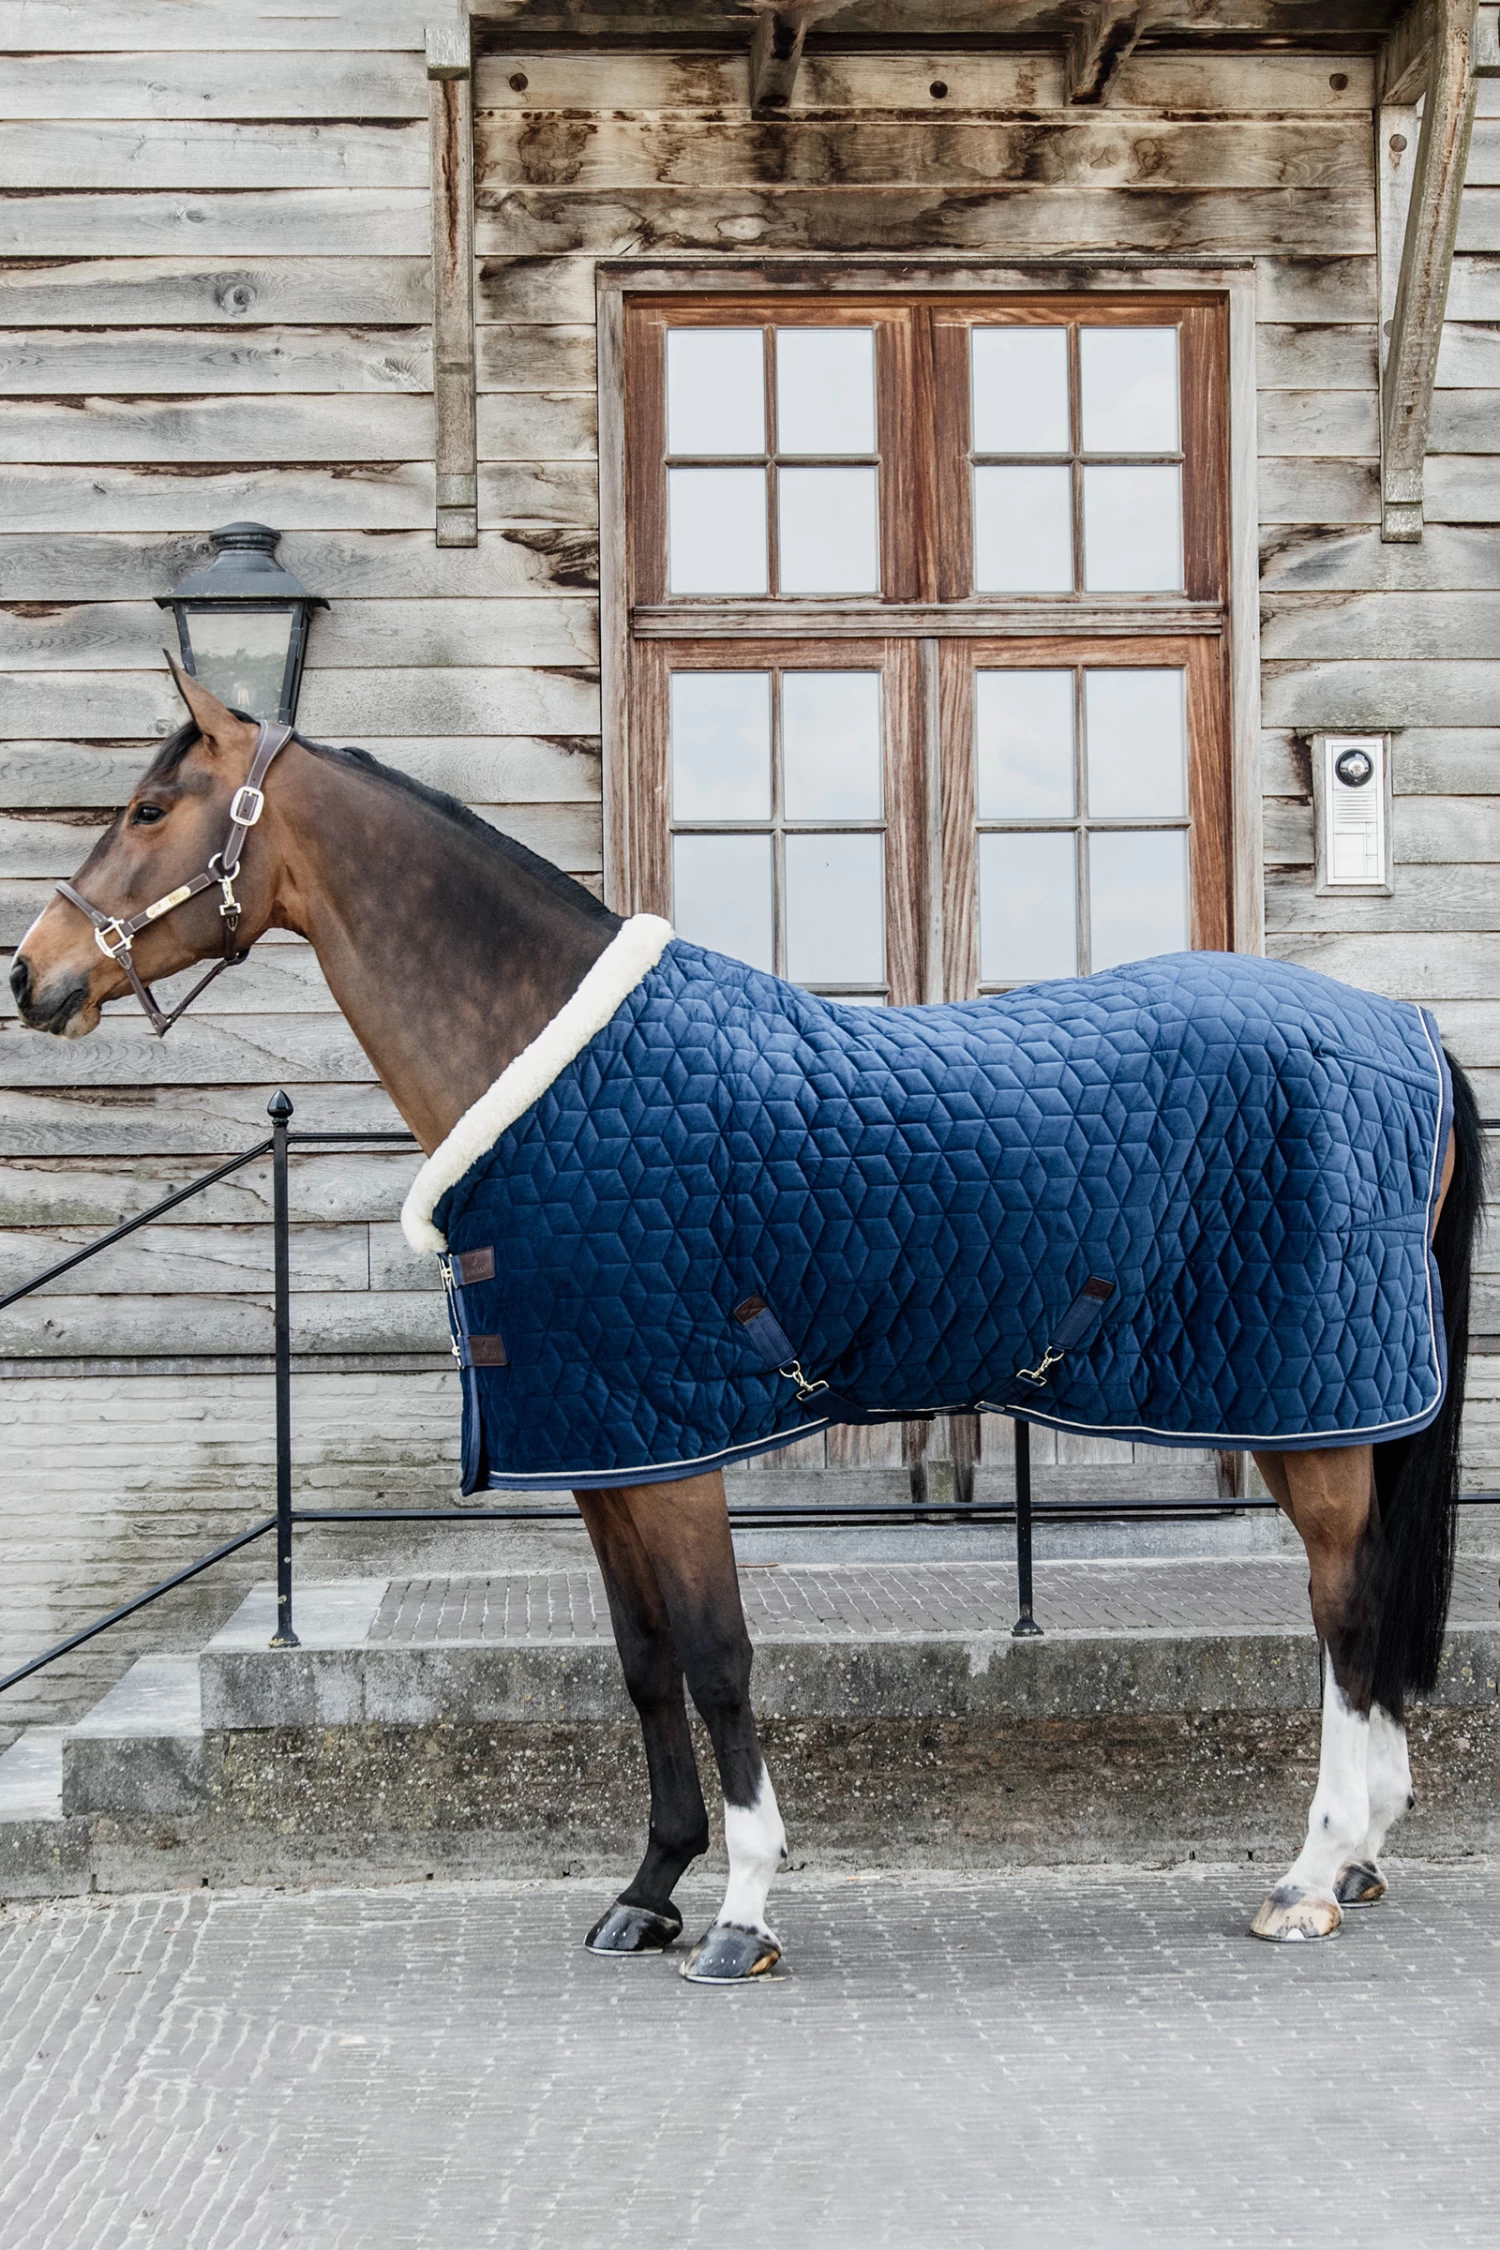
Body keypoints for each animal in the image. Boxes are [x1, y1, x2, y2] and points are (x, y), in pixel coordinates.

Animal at [10, 664, 1483, 1978]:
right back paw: (1362, 1852)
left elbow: (718, 1658)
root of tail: (1403, 1024)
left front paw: (742, 1908)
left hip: (1310, 1413)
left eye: (149, 807)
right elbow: (644, 1662)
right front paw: (647, 1888)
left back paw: (1311, 1872)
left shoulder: (679, 1449)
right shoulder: (606, 1446)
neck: (559, 1075)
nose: (35, 974)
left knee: (1344, 1611)